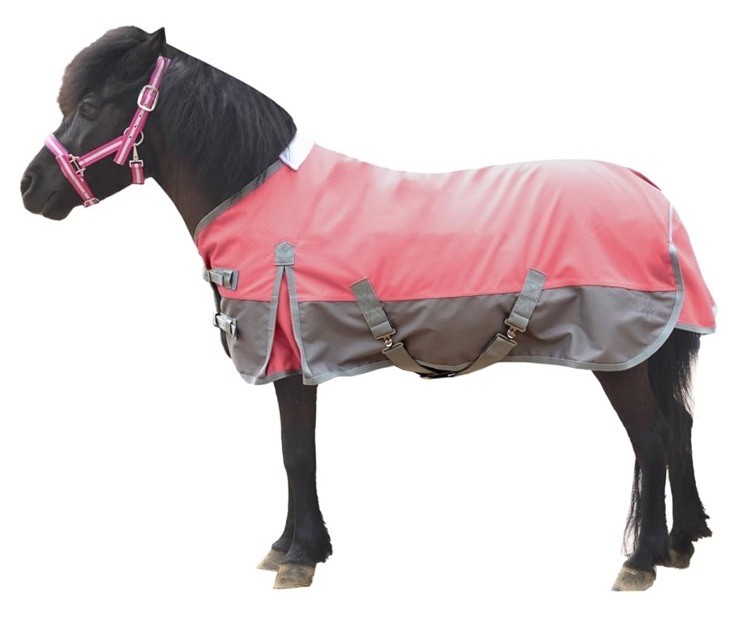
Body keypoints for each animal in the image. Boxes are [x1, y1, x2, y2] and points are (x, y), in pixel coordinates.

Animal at [20, 26, 714, 591]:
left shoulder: (288, 358)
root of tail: (653, 194)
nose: (29, 187)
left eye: (88, 106)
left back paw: (642, 560)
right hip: (646, 352)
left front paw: (299, 557)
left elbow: (296, 451)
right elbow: (296, 452)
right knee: (678, 428)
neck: (255, 194)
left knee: (651, 438)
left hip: (620, 357)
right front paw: (291, 546)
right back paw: (682, 543)